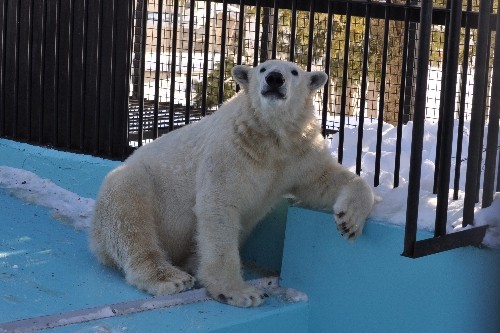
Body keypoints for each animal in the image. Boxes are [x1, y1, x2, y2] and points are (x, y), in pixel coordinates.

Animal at [90, 59, 376, 306]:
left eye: (294, 72)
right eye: (262, 68)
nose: (275, 79)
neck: (269, 139)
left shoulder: (297, 154)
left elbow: (322, 180)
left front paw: (349, 222)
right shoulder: (229, 151)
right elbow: (218, 208)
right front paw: (240, 292)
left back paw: (192, 262)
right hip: (135, 188)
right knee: (130, 215)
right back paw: (170, 277)